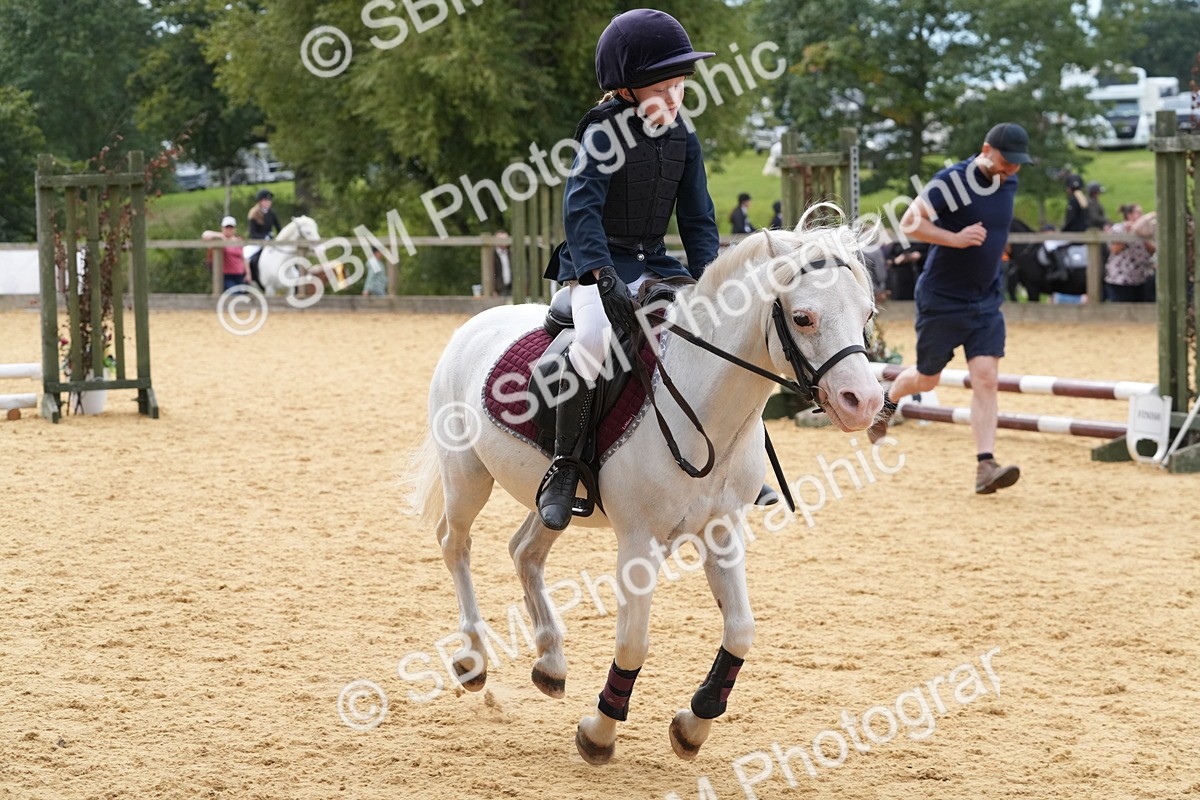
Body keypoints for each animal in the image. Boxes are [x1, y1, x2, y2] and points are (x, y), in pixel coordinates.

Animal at [409, 223, 885, 765]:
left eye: (867, 314)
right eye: (804, 317)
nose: (865, 402)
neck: (706, 407)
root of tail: (475, 324)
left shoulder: (722, 531)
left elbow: (741, 630)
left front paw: (695, 723)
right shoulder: (639, 542)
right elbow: (633, 642)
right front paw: (599, 732)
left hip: (548, 498)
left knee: (525, 549)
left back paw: (551, 660)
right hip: (466, 477)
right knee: (456, 545)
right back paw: (473, 657)